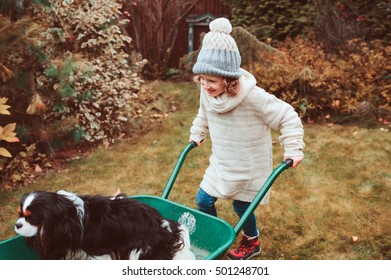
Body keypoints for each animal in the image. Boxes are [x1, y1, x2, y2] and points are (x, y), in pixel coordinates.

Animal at [14, 190, 196, 260]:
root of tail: (164, 225)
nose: (17, 225)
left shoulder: (102, 252)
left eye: (32, 219)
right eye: (20, 214)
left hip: (139, 251)